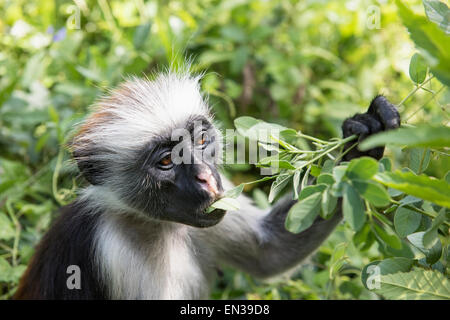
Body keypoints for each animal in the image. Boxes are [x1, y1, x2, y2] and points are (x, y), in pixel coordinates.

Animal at [14, 71, 400, 298]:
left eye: (200, 141)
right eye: (166, 162)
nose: (204, 175)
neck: (153, 225)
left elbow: (269, 252)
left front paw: (363, 138)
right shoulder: (119, 255)